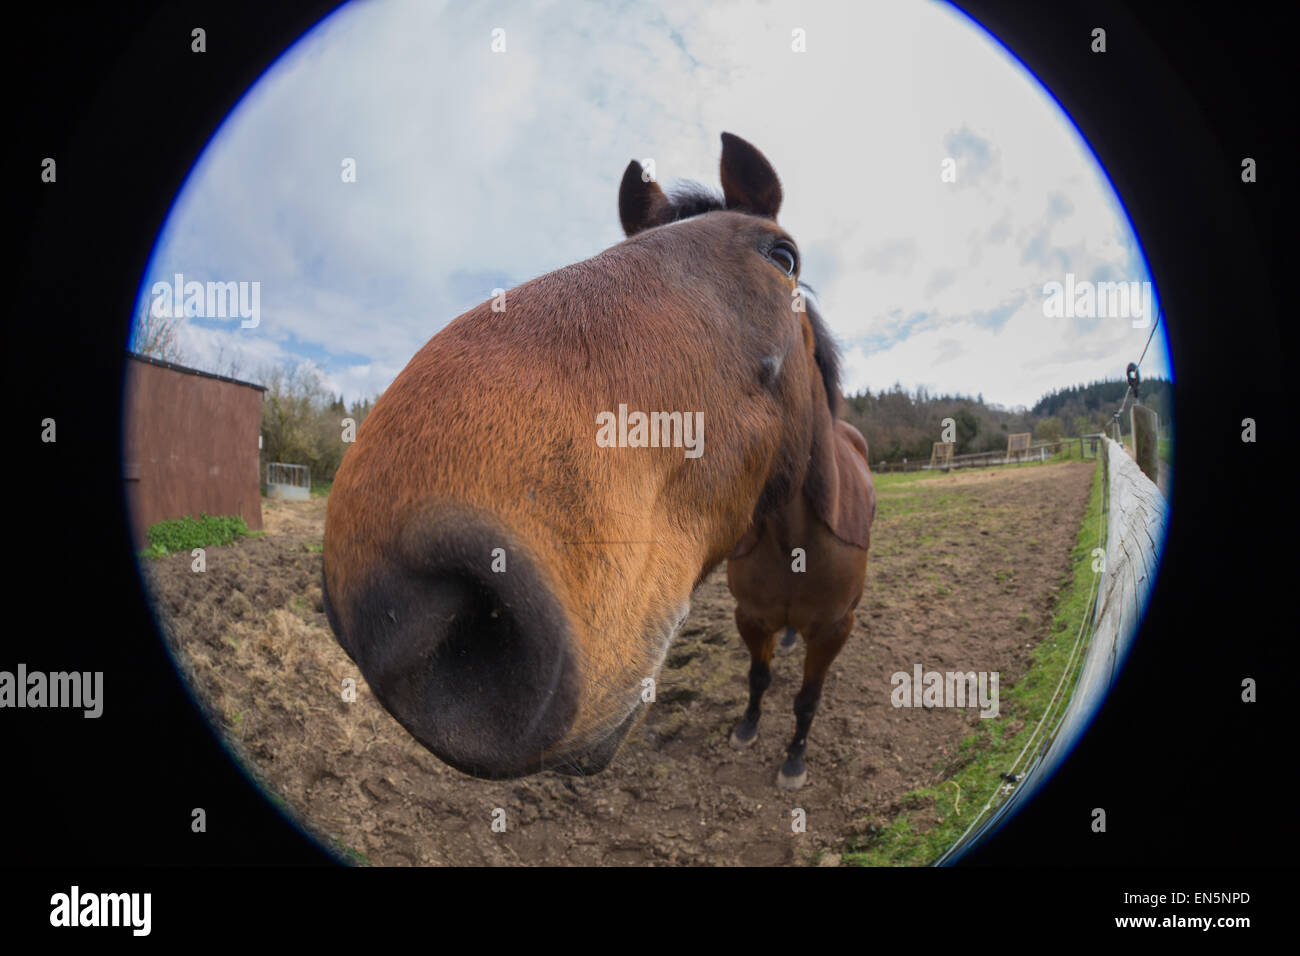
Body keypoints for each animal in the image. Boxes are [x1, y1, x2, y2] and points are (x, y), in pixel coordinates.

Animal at [723, 289, 876, 790]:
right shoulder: (750, 617)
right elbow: (758, 677)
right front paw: (747, 726)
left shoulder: (833, 630)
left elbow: (808, 699)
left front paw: (794, 758)